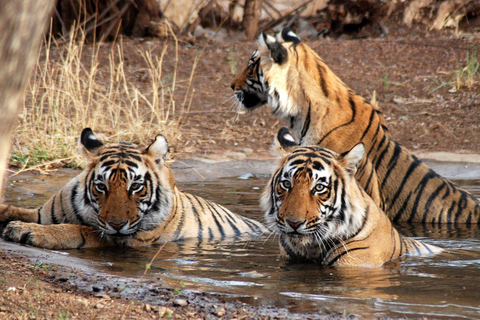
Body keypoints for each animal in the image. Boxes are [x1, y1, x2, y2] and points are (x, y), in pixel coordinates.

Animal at [0, 128, 266, 250]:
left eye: (136, 187)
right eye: (101, 187)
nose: (117, 224)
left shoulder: (122, 238)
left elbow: (76, 229)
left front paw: (24, 230)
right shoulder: (42, 213)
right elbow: (14, 209)